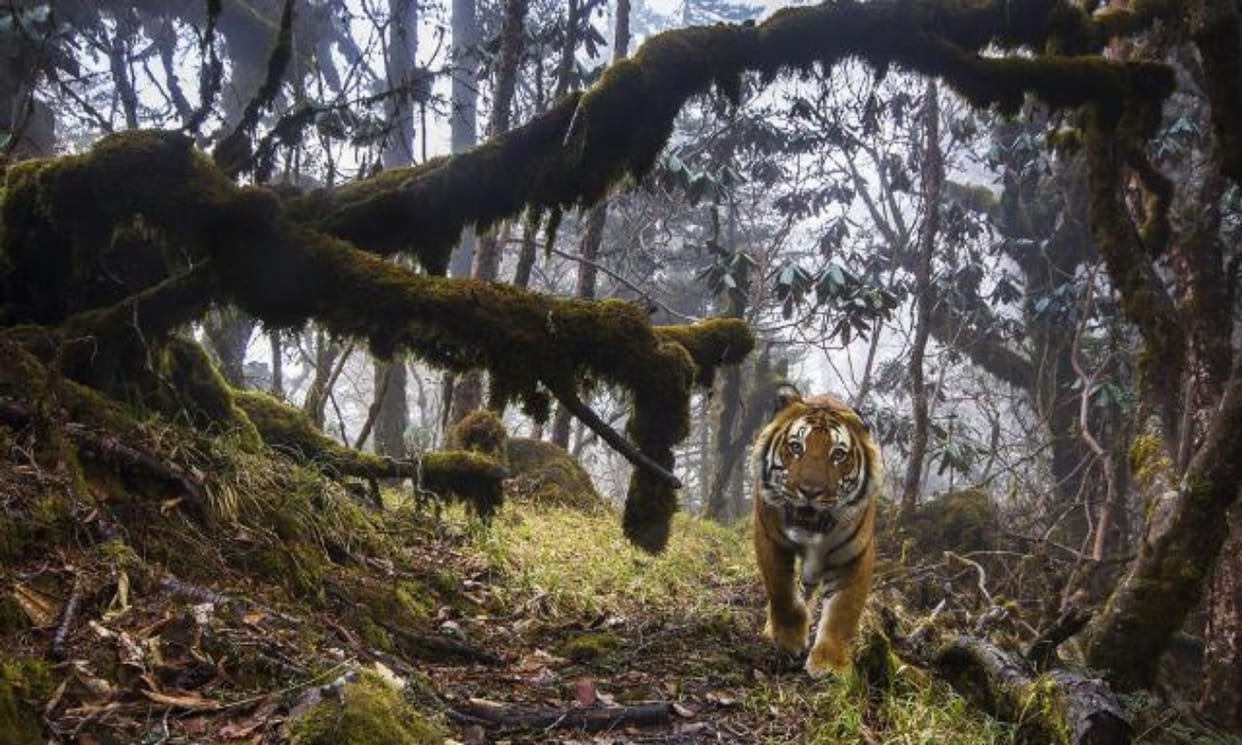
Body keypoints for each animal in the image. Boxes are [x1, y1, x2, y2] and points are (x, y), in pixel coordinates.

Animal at [751, 383, 882, 676]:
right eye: (796, 447)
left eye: (838, 454)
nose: (810, 491)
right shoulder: (769, 538)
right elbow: (782, 592)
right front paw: (789, 640)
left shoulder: (855, 555)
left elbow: (843, 610)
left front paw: (830, 664)